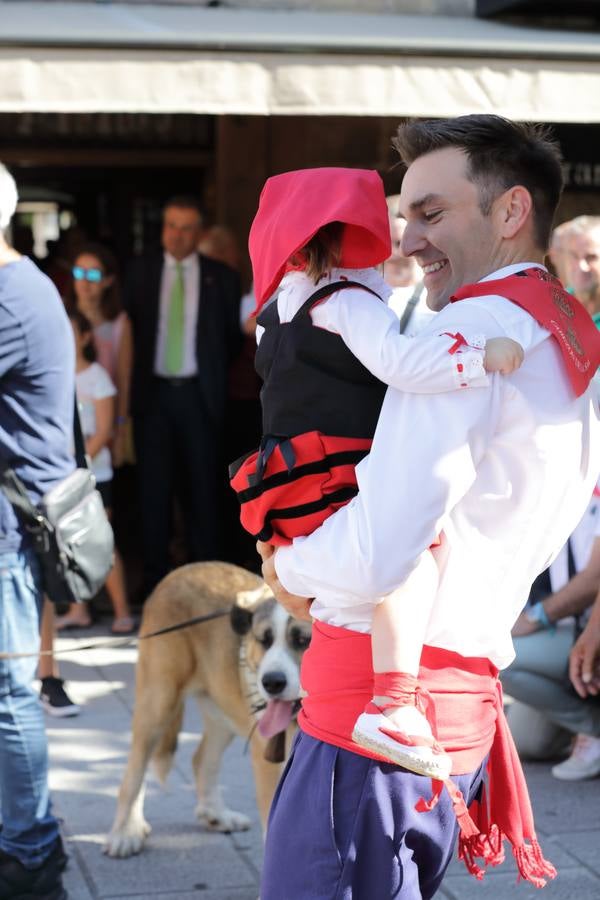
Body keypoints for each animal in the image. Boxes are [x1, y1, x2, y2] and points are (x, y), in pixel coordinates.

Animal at [105, 564, 310, 856]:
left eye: (303, 640)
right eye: (264, 640)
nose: (270, 683)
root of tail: (176, 574)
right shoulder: (270, 761)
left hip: (221, 709)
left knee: (201, 759)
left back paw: (216, 814)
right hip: (158, 702)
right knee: (135, 768)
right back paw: (125, 832)